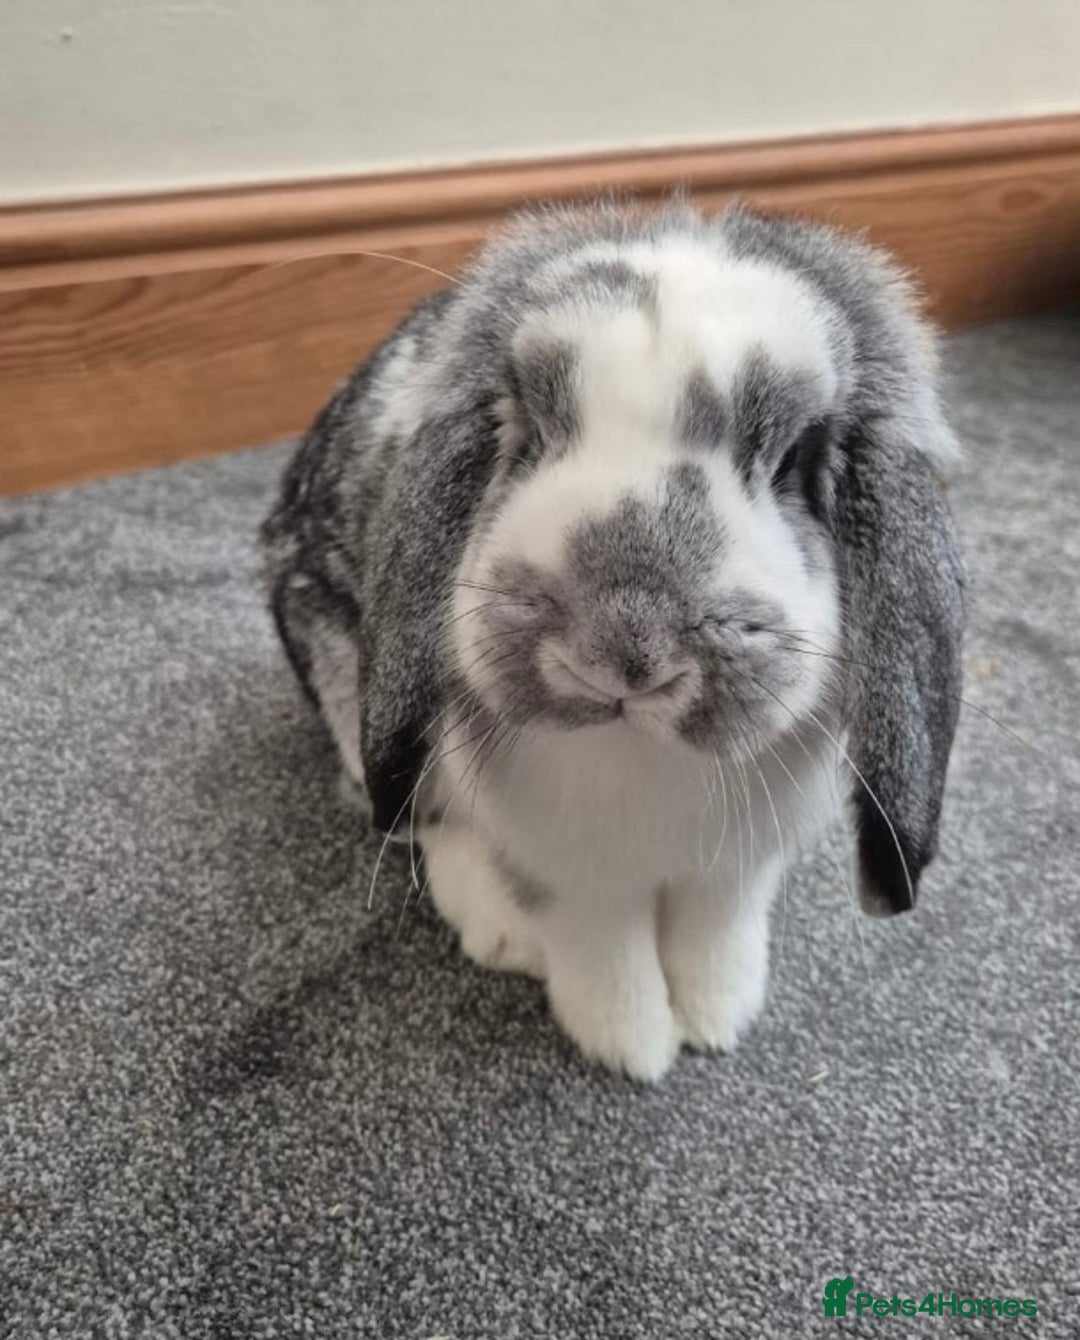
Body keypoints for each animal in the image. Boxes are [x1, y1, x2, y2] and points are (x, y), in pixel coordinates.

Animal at [260, 201, 965, 1081]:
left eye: (793, 458)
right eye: (526, 430)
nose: (624, 649)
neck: (644, 760)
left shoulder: (738, 867)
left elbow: (715, 930)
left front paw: (718, 1017)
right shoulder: (569, 872)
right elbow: (605, 952)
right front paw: (632, 1046)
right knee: (417, 816)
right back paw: (499, 932)